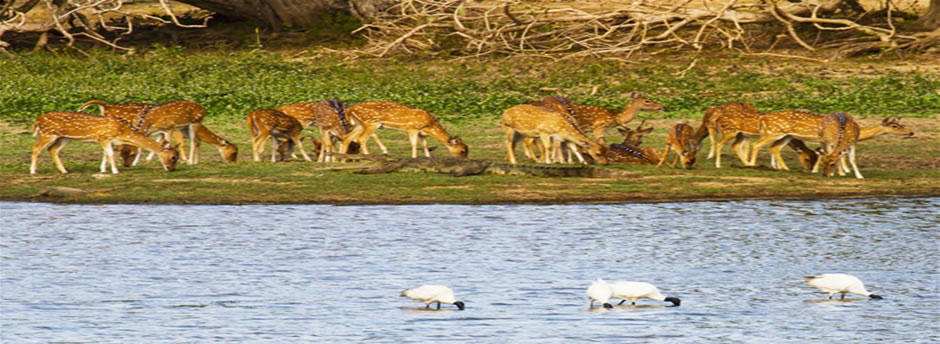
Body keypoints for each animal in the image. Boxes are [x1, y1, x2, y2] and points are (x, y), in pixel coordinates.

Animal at [30, 111, 179, 173]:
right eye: (173, 157)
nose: (171, 169)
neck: (123, 132)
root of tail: (37, 119)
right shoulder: (103, 137)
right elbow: (111, 154)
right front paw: (115, 171)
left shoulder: (108, 140)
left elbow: (106, 154)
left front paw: (103, 170)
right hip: (47, 134)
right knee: (36, 148)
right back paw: (33, 171)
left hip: (64, 138)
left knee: (52, 149)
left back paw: (64, 171)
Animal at [340, 100, 468, 158]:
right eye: (462, 151)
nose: (463, 160)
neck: (429, 125)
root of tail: (349, 110)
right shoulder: (412, 128)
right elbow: (414, 144)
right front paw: (414, 157)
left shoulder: (421, 133)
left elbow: (425, 145)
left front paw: (428, 158)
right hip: (370, 123)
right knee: (361, 138)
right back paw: (367, 156)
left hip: (359, 124)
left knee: (347, 137)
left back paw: (341, 158)